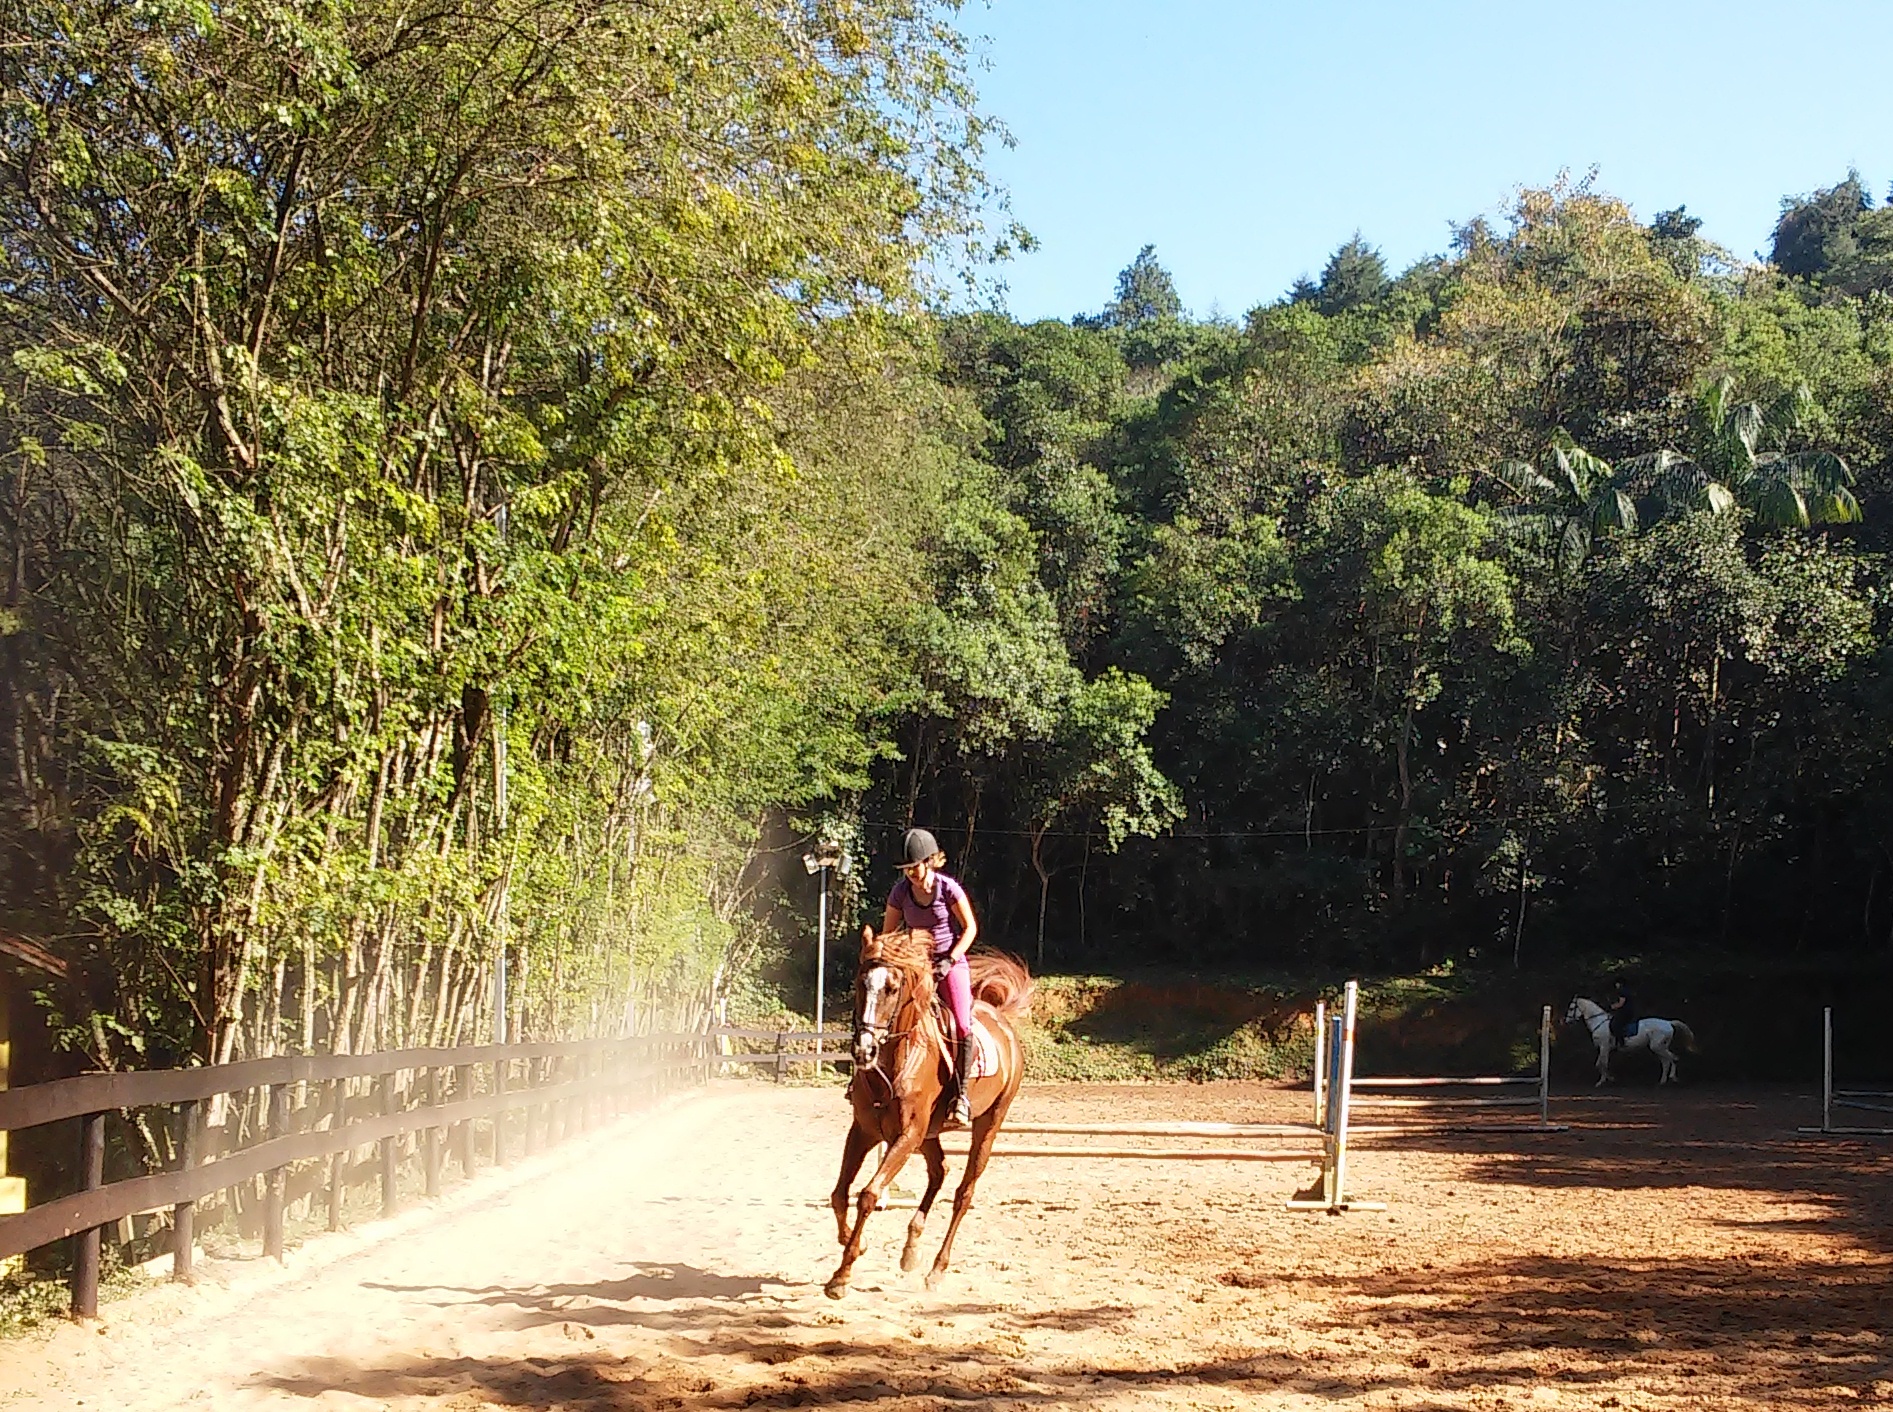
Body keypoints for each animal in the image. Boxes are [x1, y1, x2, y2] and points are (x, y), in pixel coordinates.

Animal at [829, 923, 1037, 1294]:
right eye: (860, 982)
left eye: (892, 988)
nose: (864, 1050)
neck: (896, 1061)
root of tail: (1002, 1021)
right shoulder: (865, 1131)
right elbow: (839, 1194)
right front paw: (857, 1245)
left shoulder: (906, 1136)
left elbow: (868, 1194)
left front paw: (842, 1274)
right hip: (929, 1133)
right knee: (940, 1171)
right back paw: (911, 1250)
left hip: (989, 1124)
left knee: (964, 1192)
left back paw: (937, 1269)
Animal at [1567, 999, 1703, 1082]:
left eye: (1571, 1008)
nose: (1566, 1021)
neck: (1599, 1022)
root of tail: (1668, 1022)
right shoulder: (1604, 1048)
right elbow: (1599, 1064)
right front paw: (1608, 1078)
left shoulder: (1604, 1046)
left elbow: (1603, 1063)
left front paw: (1604, 1081)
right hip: (1659, 1047)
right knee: (1666, 1061)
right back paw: (1662, 1081)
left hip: (1657, 1046)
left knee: (1673, 1058)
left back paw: (1672, 1077)